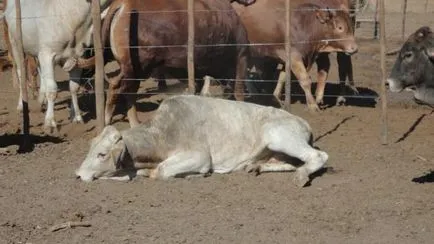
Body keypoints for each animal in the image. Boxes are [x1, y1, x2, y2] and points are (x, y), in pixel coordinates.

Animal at [3, 0, 111, 132]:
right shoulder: (47, 55)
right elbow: (52, 90)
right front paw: (50, 122)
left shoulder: (76, 57)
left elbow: (74, 87)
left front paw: (77, 117)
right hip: (16, 45)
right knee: (20, 73)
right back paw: (21, 105)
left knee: (41, 73)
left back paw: (41, 100)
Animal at [75, 95, 328, 187]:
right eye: (89, 150)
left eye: (102, 154)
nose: (77, 175)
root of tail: (303, 122)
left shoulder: (200, 156)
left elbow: (163, 171)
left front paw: (194, 175)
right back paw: (254, 166)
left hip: (280, 137)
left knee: (318, 156)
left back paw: (301, 176)